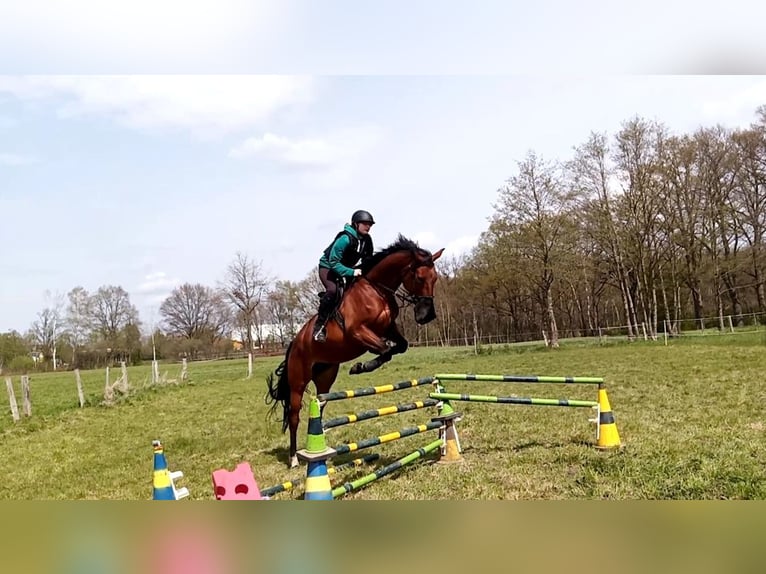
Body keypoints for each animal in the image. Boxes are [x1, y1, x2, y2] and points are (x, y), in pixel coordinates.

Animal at [266, 236, 444, 470]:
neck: (376, 289)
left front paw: (362, 365)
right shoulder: (358, 332)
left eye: (435, 278)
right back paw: (294, 458)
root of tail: (294, 342)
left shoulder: (388, 328)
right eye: (419, 276)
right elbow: (385, 349)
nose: (427, 316)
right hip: (298, 380)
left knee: (320, 405)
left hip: (325, 376)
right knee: (294, 416)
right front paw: (360, 367)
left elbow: (400, 346)